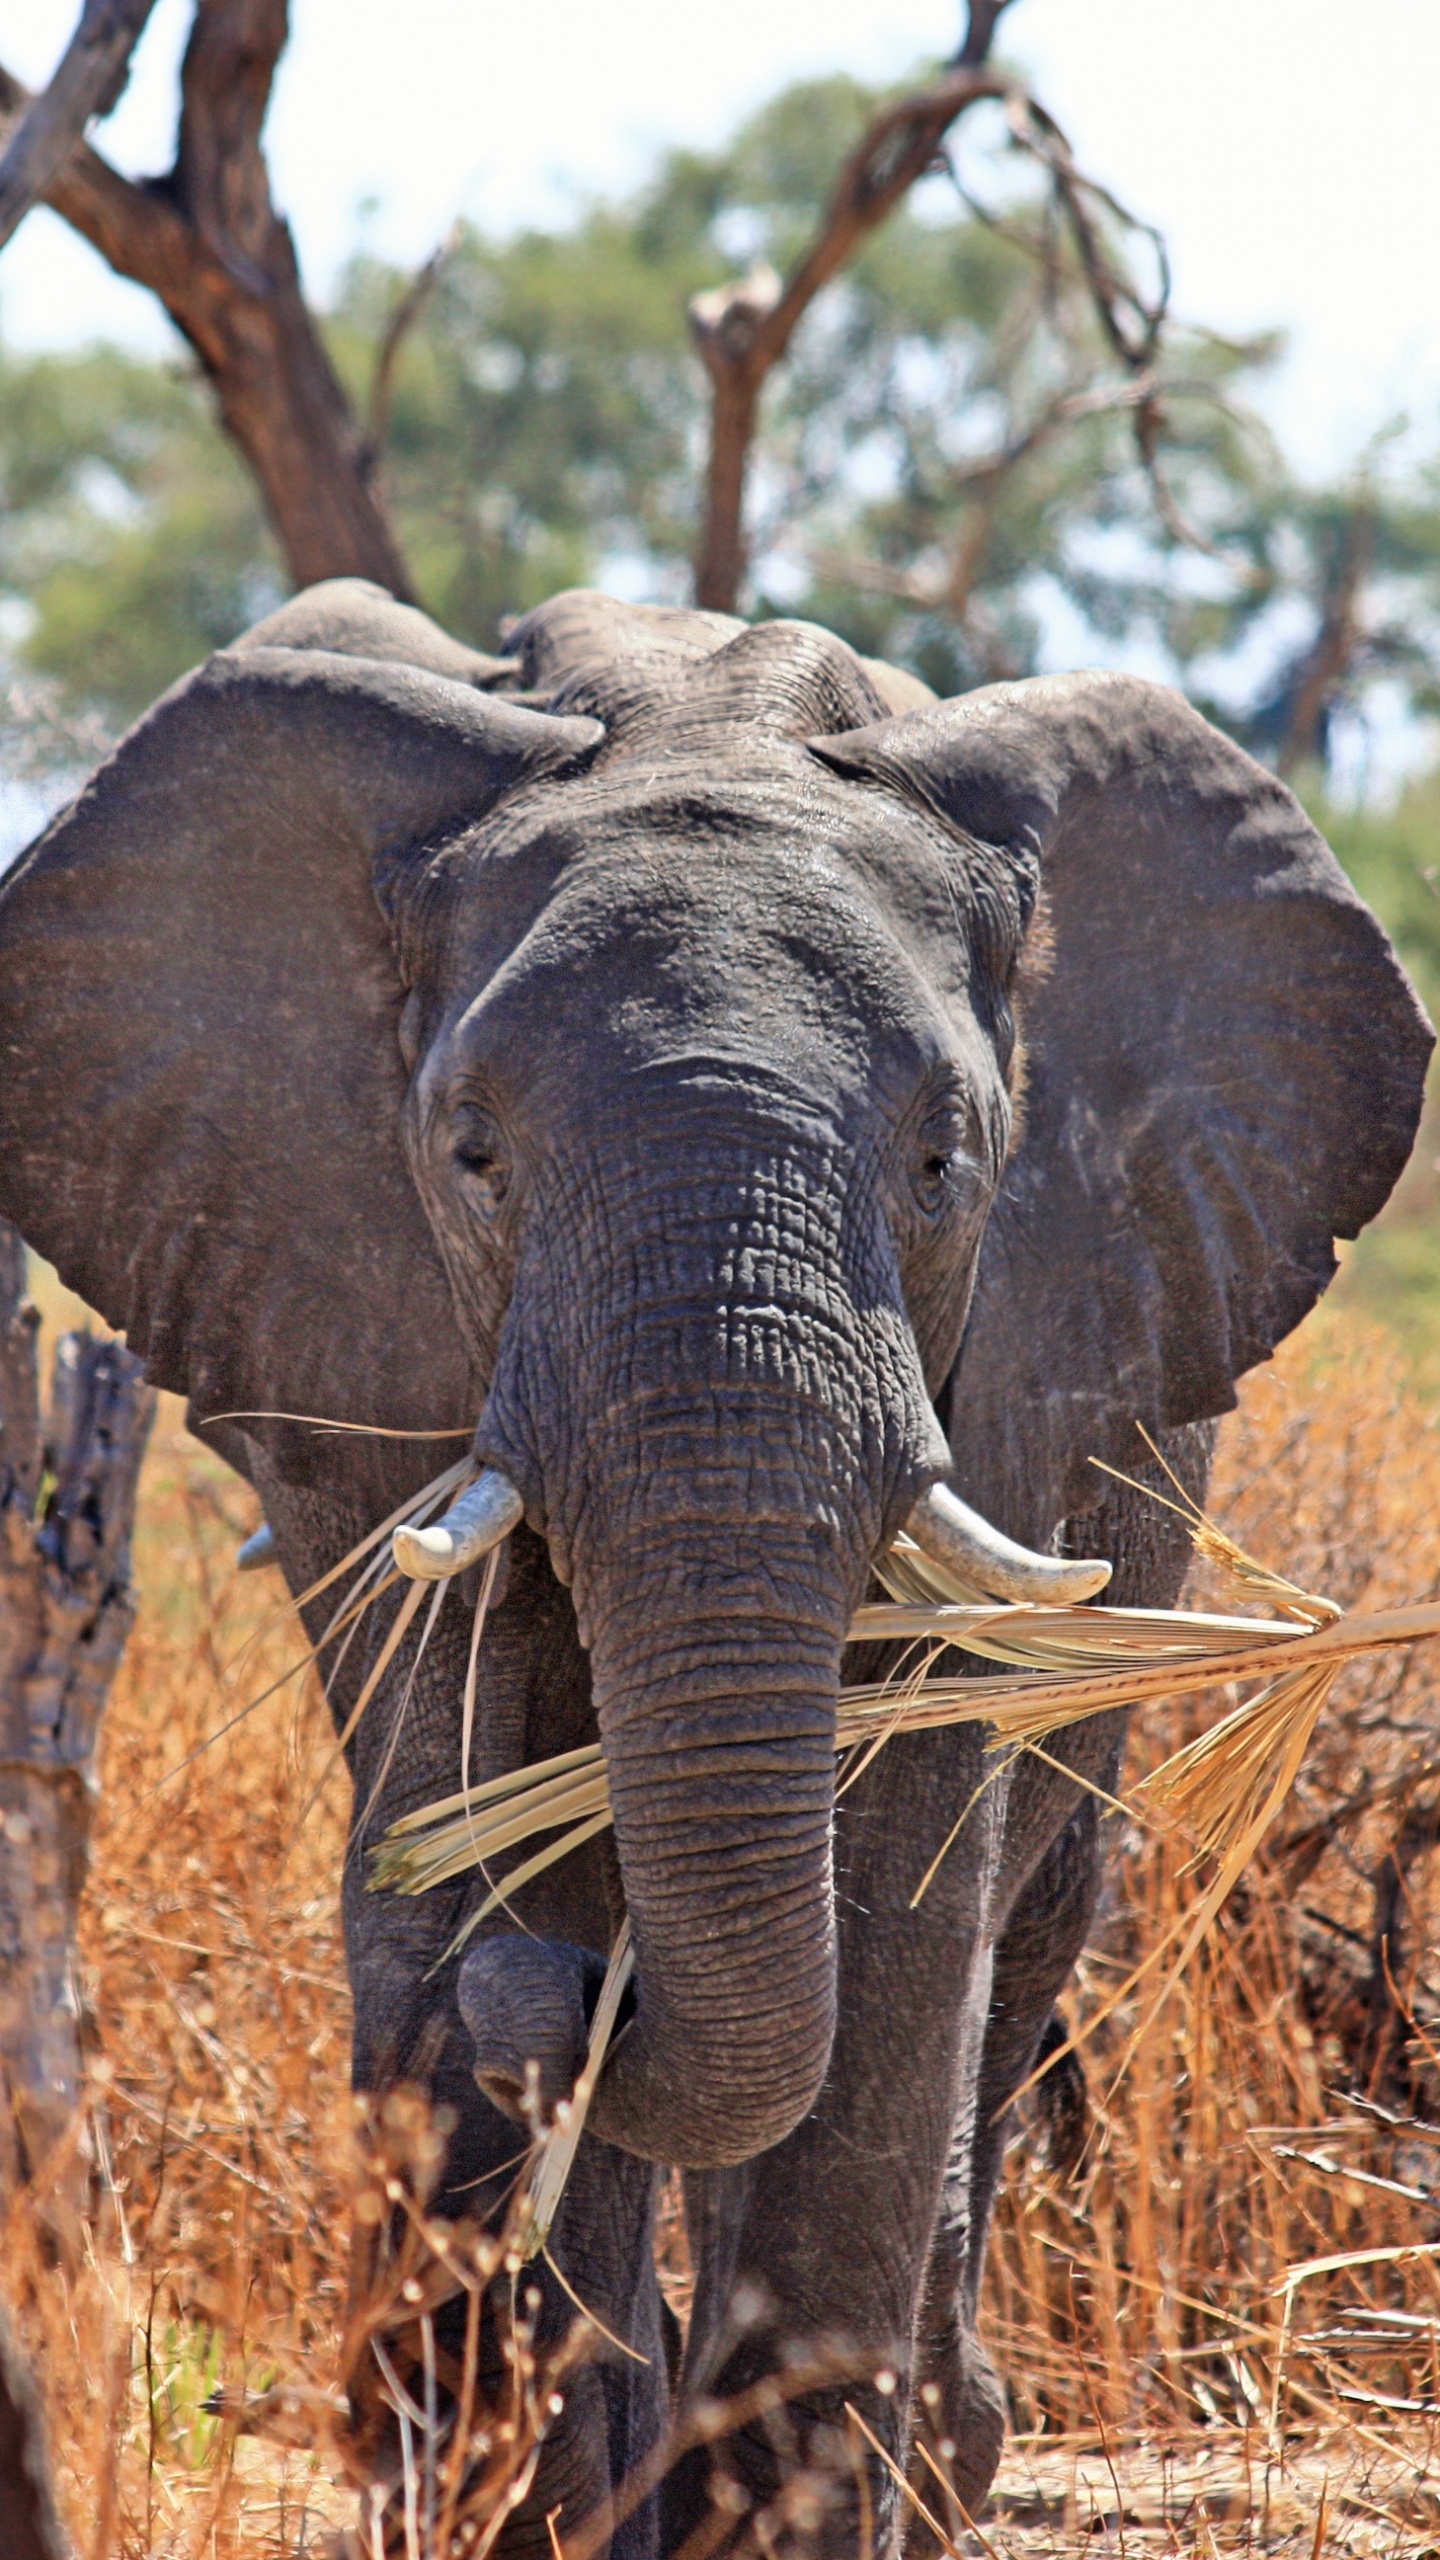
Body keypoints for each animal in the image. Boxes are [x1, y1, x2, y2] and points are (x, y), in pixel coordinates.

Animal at [0, 579, 1429, 2555]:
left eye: (944, 1161)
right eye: (471, 1154)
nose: (557, 2000)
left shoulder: (1025, 1337)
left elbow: (897, 1886)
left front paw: (759, 2517)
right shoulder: (353, 1315)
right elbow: (455, 1781)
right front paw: (533, 2491)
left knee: (1024, 1939)